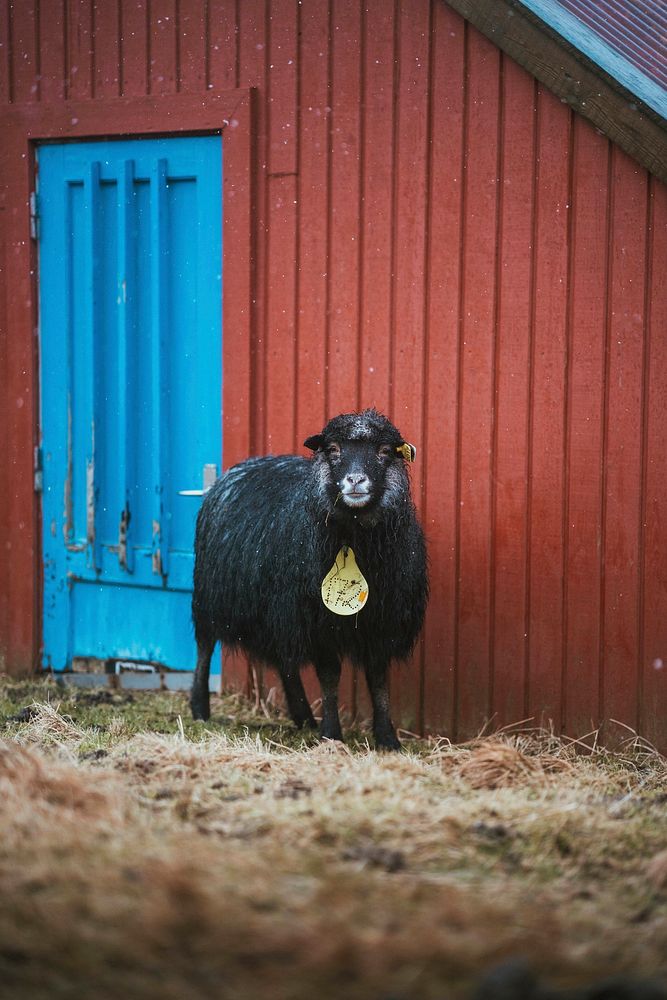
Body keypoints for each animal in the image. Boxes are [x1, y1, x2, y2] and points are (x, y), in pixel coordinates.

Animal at [189, 408, 428, 752]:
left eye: (384, 452)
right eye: (333, 450)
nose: (356, 480)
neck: (353, 540)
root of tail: (244, 464)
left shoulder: (382, 624)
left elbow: (378, 679)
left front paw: (387, 738)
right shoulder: (318, 622)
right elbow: (329, 677)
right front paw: (331, 734)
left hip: (275, 608)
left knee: (284, 661)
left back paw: (302, 716)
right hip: (211, 594)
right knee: (205, 648)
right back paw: (199, 709)